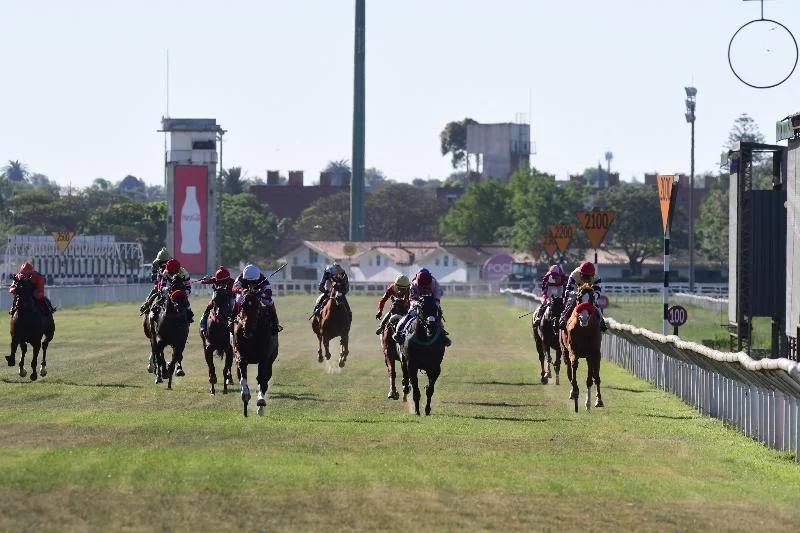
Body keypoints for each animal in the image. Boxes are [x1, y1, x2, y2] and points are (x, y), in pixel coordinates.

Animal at [233, 278, 280, 416]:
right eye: (243, 305)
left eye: (256, 306)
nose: (247, 329)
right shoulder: (239, 352)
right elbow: (242, 371)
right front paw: (245, 394)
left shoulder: (264, 357)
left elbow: (262, 379)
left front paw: (260, 401)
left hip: (271, 359)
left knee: (263, 379)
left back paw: (260, 407)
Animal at [560, 282, 604, 412]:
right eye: (579, 298)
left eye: (592, 298)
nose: (583, 318)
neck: (584, 330)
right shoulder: (573, 350)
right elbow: (574, 366)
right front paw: (575, 391)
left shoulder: (594, 353)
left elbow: (594, 377)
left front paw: (596, 401)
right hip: (565, 350)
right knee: (569, 369)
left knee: (592, 378)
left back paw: (591, 402)